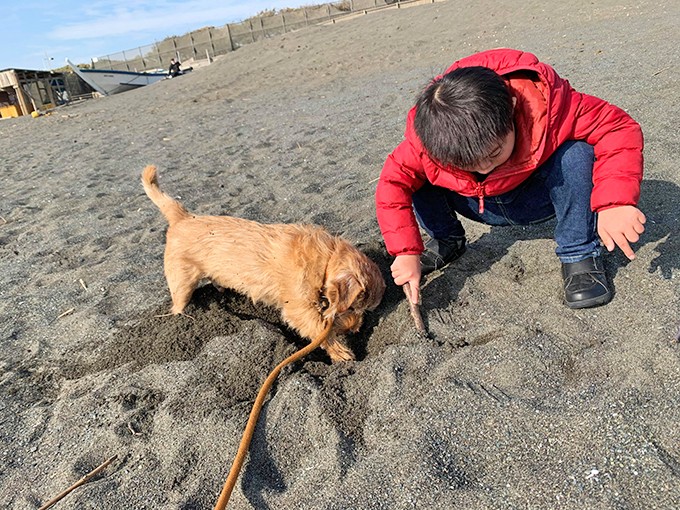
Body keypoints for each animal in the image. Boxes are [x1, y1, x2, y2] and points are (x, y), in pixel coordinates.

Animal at [141, 165, 386, 360]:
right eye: (353, 307)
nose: (355, 329)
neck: (326, 259)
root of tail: (182, 218)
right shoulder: (299, 309)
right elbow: (319, 330)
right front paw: (341, 352)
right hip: (181, 280)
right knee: (178, 304)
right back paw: (182, 320)